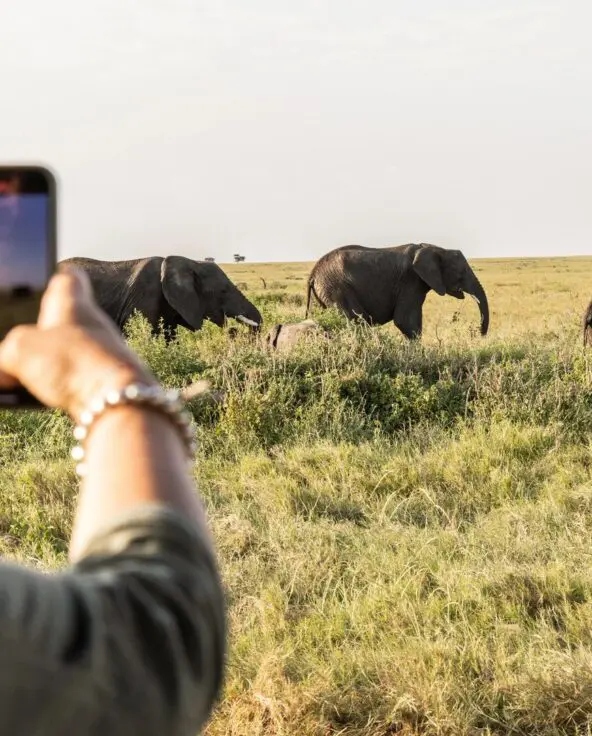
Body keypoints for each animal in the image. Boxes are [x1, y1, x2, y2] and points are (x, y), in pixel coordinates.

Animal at [305, 242, 489, 339]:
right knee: (357, 321)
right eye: (462, 272)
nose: (480, 335)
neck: (435, 248)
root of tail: (312, 275)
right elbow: (405, 321)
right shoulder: (410, 281)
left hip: (323, 291)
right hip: (337, 288)